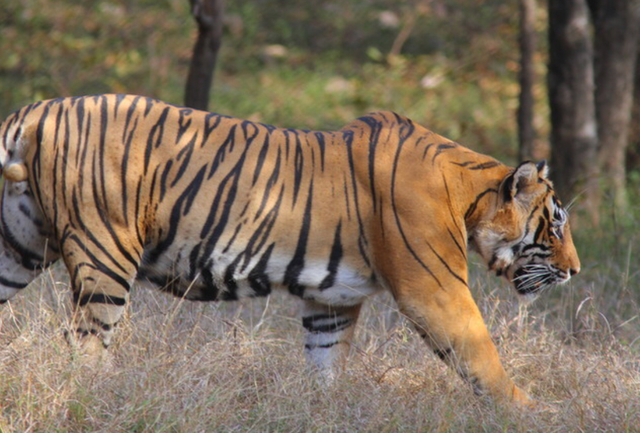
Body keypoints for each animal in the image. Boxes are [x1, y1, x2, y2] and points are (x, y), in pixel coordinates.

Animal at [0, 94, 579, 406]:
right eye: (554, 225)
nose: (575, 271)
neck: (467, 195)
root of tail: (34, 111)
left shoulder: (333, 300)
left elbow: (326, 362)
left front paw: (327, 411)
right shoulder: (434, 290)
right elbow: (482, 356)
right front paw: (532, 412)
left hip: (16, 248)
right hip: (106, 255)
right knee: (85, 346)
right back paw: (97, 399)